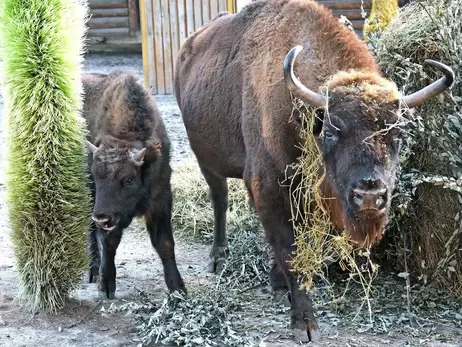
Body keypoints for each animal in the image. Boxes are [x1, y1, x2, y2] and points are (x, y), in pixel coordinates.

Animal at [81, 70, 186, 300]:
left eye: (129, 179)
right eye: (96, 175)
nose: (102, 218)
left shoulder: (160, 201)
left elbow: (165, 244)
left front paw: (178, 289)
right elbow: (109, 240)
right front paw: (106, 285)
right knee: (91, 231)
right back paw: (93, 271)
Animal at [175, 0, 452, 342]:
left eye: (397, 133)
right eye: (331, 131)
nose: (369, 196)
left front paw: (282, 286)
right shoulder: (271, 186)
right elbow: (290, 249)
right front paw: (304, 323)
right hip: (207, 162)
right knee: (220, 200)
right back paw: (218, 258)